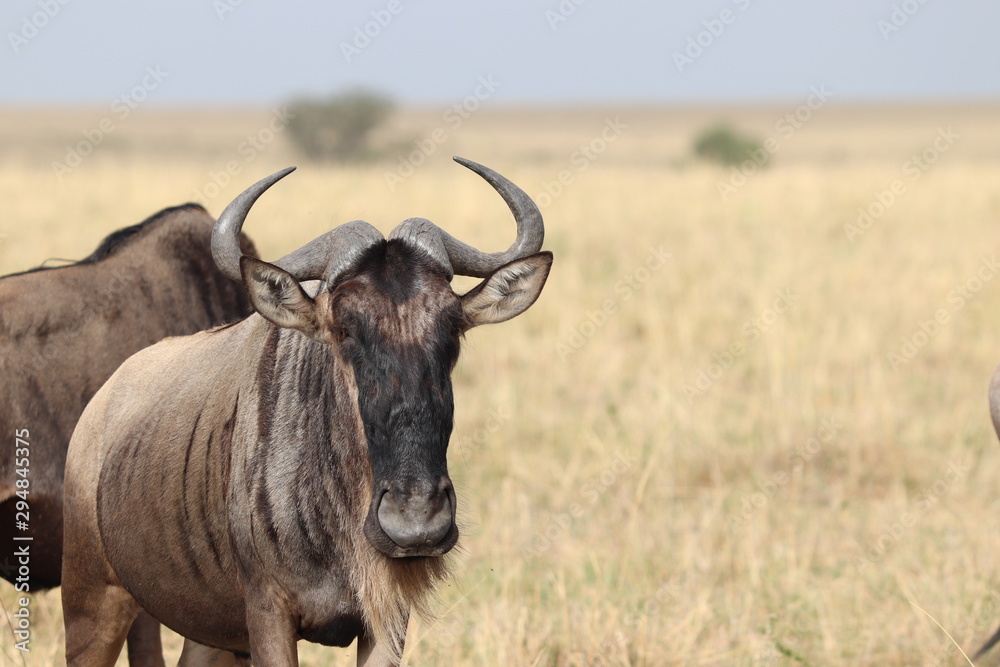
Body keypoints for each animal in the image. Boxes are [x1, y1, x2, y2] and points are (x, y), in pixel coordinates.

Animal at [61, 157, 553, 666]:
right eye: (344, 327)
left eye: (451, 326)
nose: (415, 522)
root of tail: (100, 407)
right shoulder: (268, 613)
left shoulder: (388, 622)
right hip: (94, 604)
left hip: (207, 635)